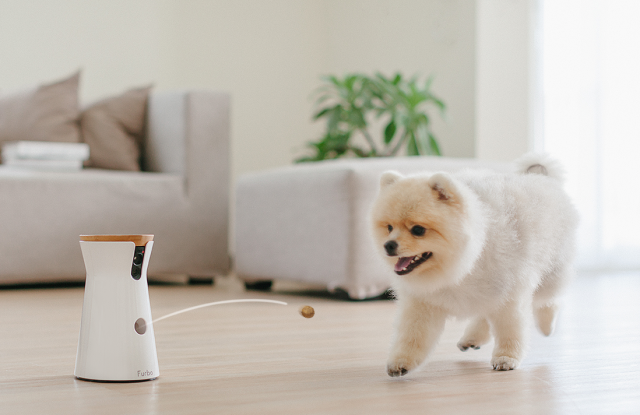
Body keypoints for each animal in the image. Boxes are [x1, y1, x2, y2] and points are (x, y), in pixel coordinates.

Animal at [368, 154, 576, 376]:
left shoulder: (509, 292)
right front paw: (401, 361)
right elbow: (413, 334)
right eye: (389, 227)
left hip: (552, 269)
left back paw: (547, 325)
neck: (464, 264)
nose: (388, 245)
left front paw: (507, 357)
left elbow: (510, 328)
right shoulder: (424, 301)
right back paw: (473, 338)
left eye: (418, 230)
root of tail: (542, 177)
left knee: (549, 298)